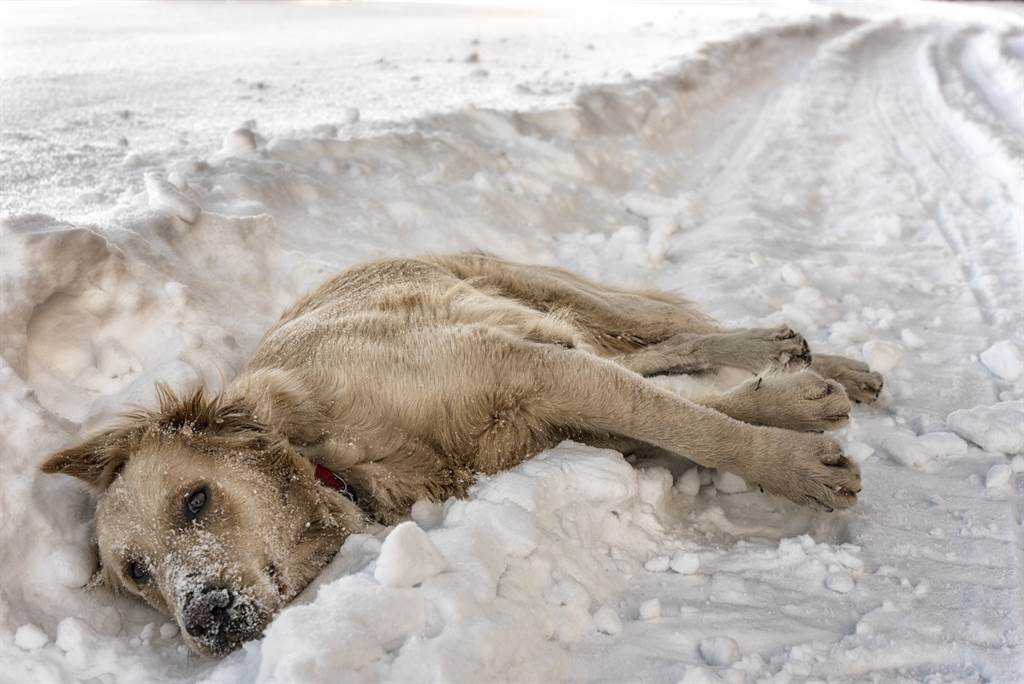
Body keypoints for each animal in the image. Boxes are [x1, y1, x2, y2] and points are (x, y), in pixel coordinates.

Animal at [44, 252, 884, 655]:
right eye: (137, 574)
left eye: (195, 499)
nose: (204, 618)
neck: (332, 459)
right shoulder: (554, 403)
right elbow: (689, 414)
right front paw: (792, 411)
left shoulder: (531, 369)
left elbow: (697, 426)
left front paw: (798, 466)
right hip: (562, 332)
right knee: (666, 355)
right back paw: (804, 371)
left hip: (556, 294)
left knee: (675, 330)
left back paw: (822, 359)